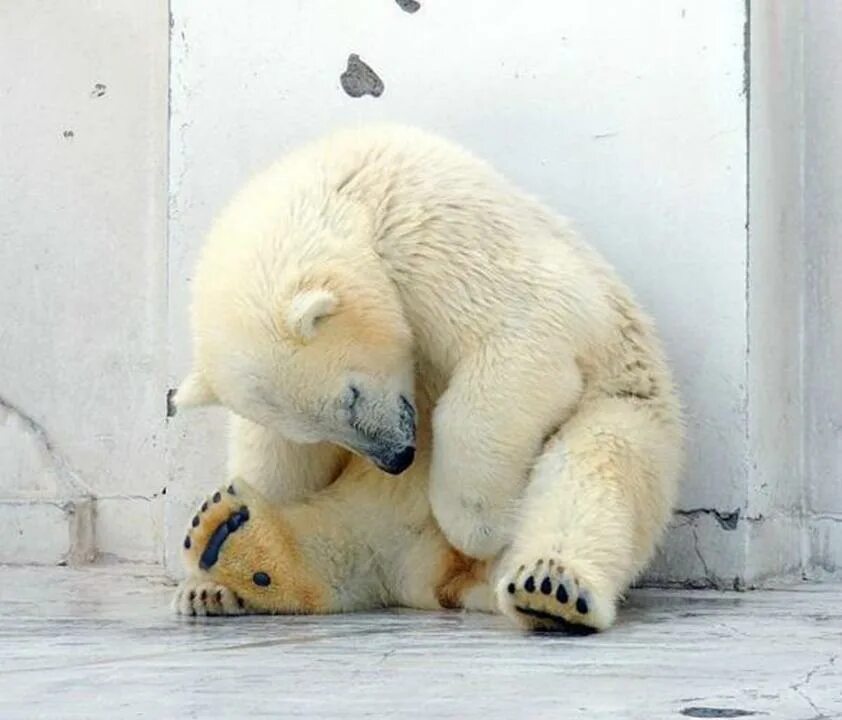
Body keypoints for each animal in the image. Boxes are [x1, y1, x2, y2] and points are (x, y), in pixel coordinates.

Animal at [172, 124, 684, 632]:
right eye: (319, 430)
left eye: (350, 396)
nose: (399, 458)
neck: (346, 196)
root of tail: (437, 580)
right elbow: (275, 462)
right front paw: (204, 589)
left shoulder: (436, 235)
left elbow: (521, 332)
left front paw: (483, 525)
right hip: (370, 506)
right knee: (340, 537)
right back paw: (235, 540)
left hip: (627, 400)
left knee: (594, 469)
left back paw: (548, 587)